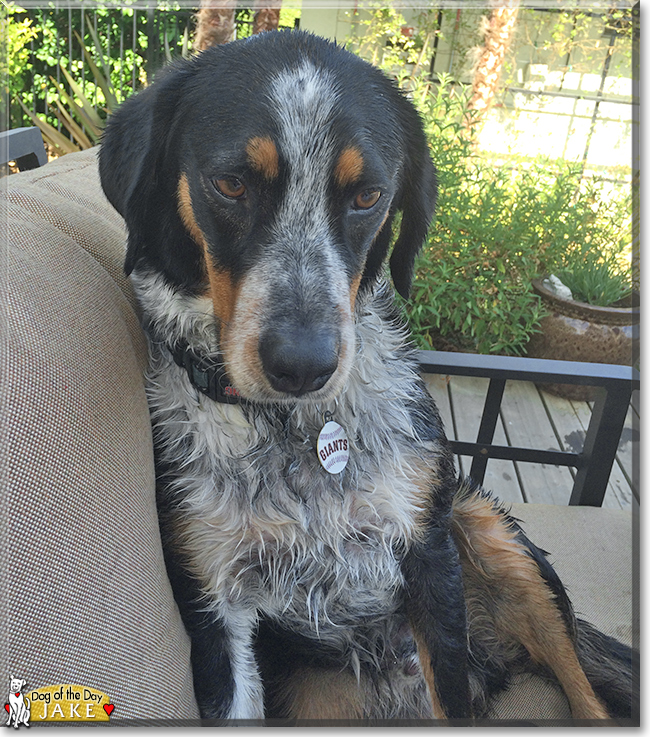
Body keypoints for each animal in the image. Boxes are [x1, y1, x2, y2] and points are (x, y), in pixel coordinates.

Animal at [97, 30, 632, 724]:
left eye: (368, 196)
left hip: (495, 537)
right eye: (230, 184)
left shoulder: (429, 558)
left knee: (585, 692)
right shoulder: (214, 607)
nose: (303, 364)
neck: (293, 433)